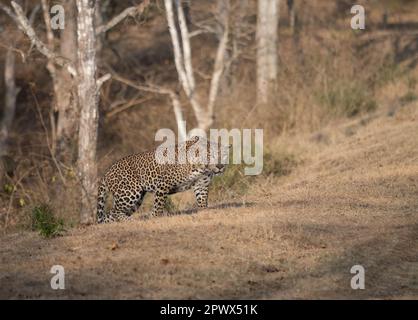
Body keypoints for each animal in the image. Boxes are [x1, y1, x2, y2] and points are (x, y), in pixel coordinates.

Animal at [96, 136, 230, 224]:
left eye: (224, 155)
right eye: (210, 156)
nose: (220, 166)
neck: (201, 168)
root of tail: (106, 172)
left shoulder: (201, 185)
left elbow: (202, 202)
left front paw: (204, 212)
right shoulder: (163, 184)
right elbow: (158, 205)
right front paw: (154, 217)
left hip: (136, 199)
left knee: (109, 216)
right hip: (130, 193)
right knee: (114, 212)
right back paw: (132, 221)